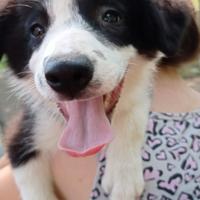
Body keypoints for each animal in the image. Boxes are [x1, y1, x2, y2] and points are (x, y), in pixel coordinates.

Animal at [0, 0, 198, 199]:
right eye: (36, 30)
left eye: (111, 17)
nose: (66, 74)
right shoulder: (24, 128)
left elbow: (134, 108)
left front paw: (122, 171)